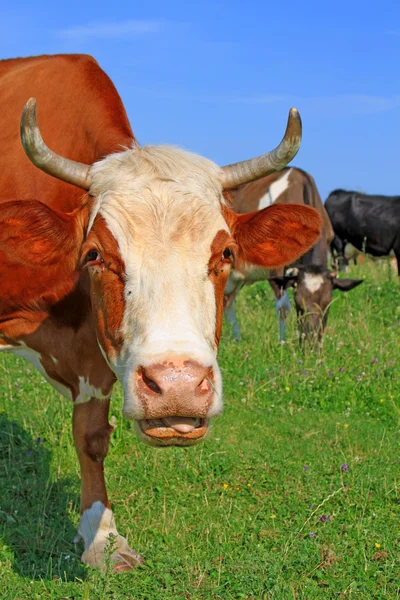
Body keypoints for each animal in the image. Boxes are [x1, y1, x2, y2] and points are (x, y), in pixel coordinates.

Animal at [0, 54, 322, 568]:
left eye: (226, 253)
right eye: (95, 254)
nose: (178, 387)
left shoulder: (95, 346)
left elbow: (91, 436)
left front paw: (103, 538)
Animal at [225, 166, 334, 340]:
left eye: (326, 306)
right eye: (300, 304)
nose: (311, 338)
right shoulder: (275, 267)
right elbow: (283, 308)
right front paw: (283, 342)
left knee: (227, 301)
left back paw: (236, 340)